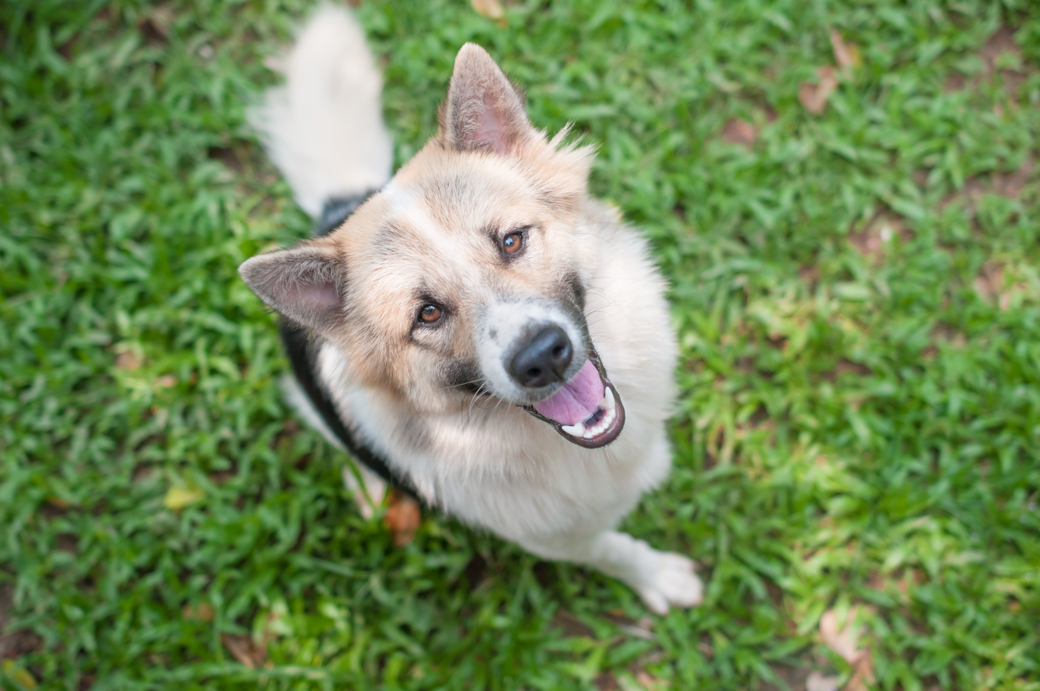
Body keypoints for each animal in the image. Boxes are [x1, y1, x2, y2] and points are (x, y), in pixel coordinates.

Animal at [239, 6, 703, 616]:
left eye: (511, 241)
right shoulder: (558, 538)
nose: (543, 358)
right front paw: (657, 576)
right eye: (428, 314)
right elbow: (612, 548)